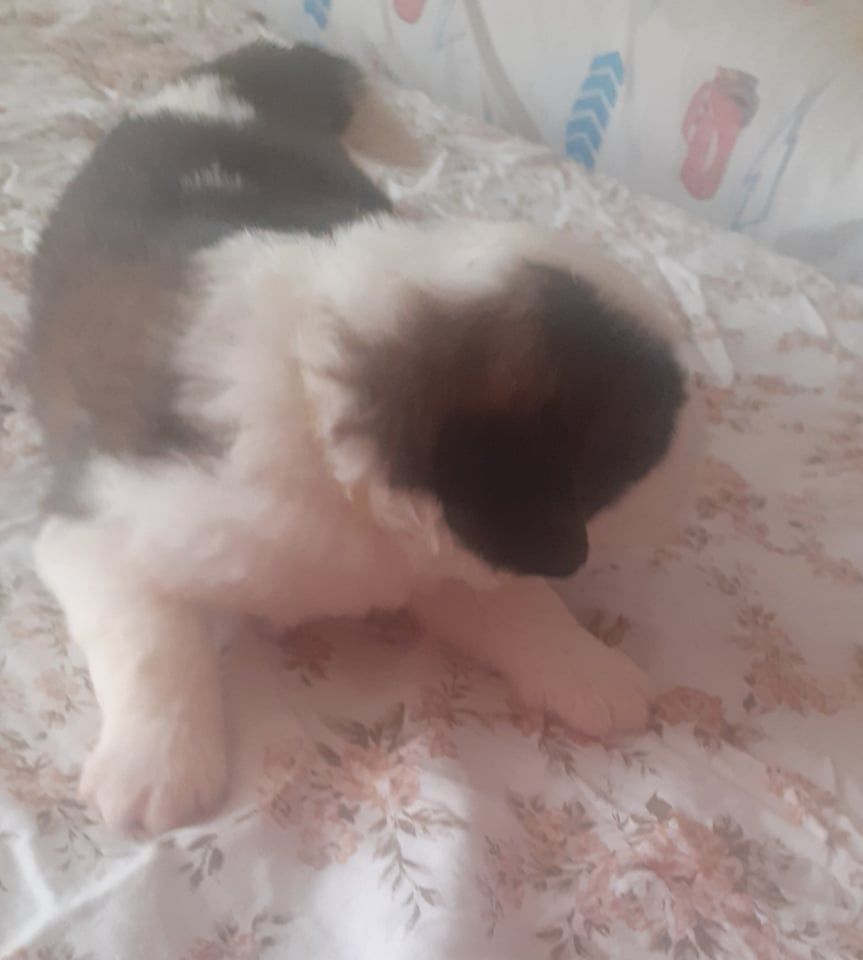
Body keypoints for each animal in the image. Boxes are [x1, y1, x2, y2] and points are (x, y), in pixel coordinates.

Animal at [26, 41, 702, 833]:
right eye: (647, 439)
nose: (694, 480)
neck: (321, 412)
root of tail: (225, 79)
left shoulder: (436, 552)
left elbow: (515, 601)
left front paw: (586, 667)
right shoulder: (103, 522)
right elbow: (151, 637)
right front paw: (156, 764)